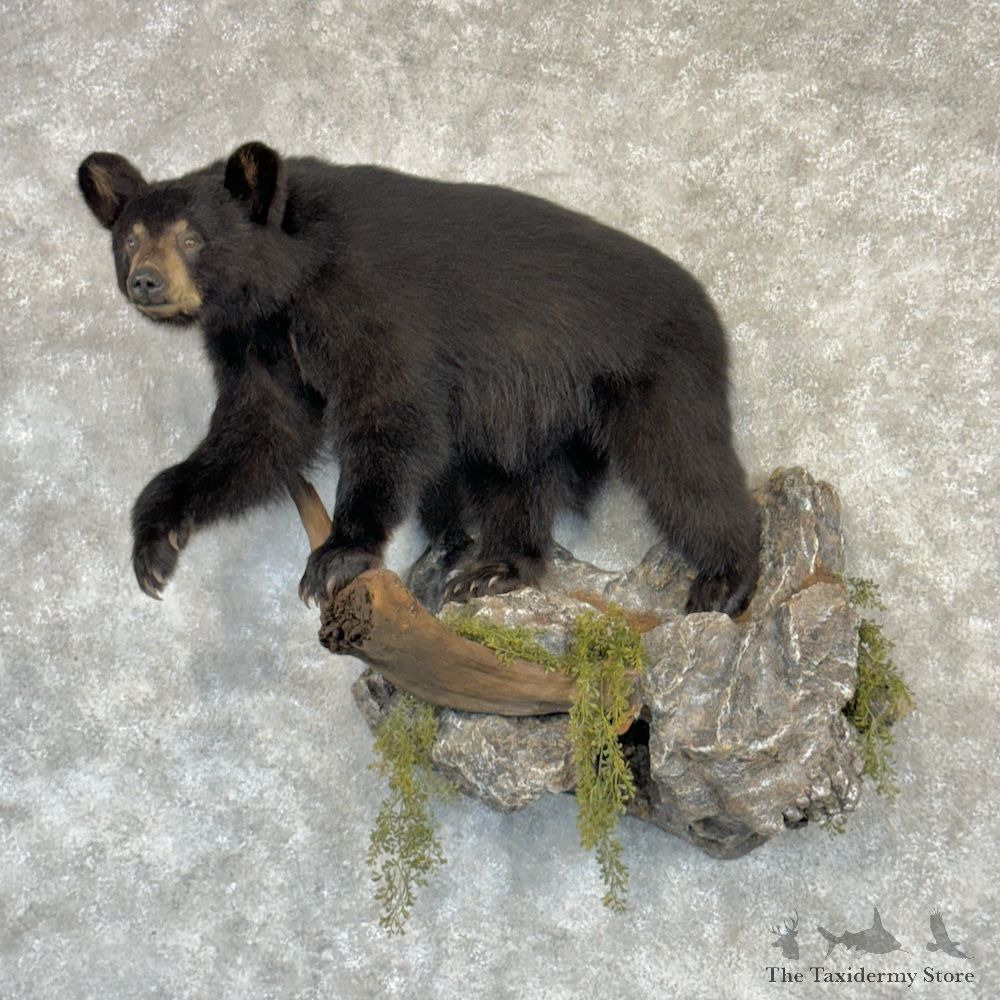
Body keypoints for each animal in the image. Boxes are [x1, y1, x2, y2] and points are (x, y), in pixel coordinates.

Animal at [78, 142, 759, 615]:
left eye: (192, 238)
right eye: (130, 238)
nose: (145, 281)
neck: (289, 284)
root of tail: (704, 302)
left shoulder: (372, 304)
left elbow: (390, 414)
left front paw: (339, 553)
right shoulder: (254, 342)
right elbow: (261, 432)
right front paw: (156, 541)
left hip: (653, 370)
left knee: (683, 463)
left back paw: (727, 577)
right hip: (524, 405)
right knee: (513, 477)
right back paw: (496, 567)